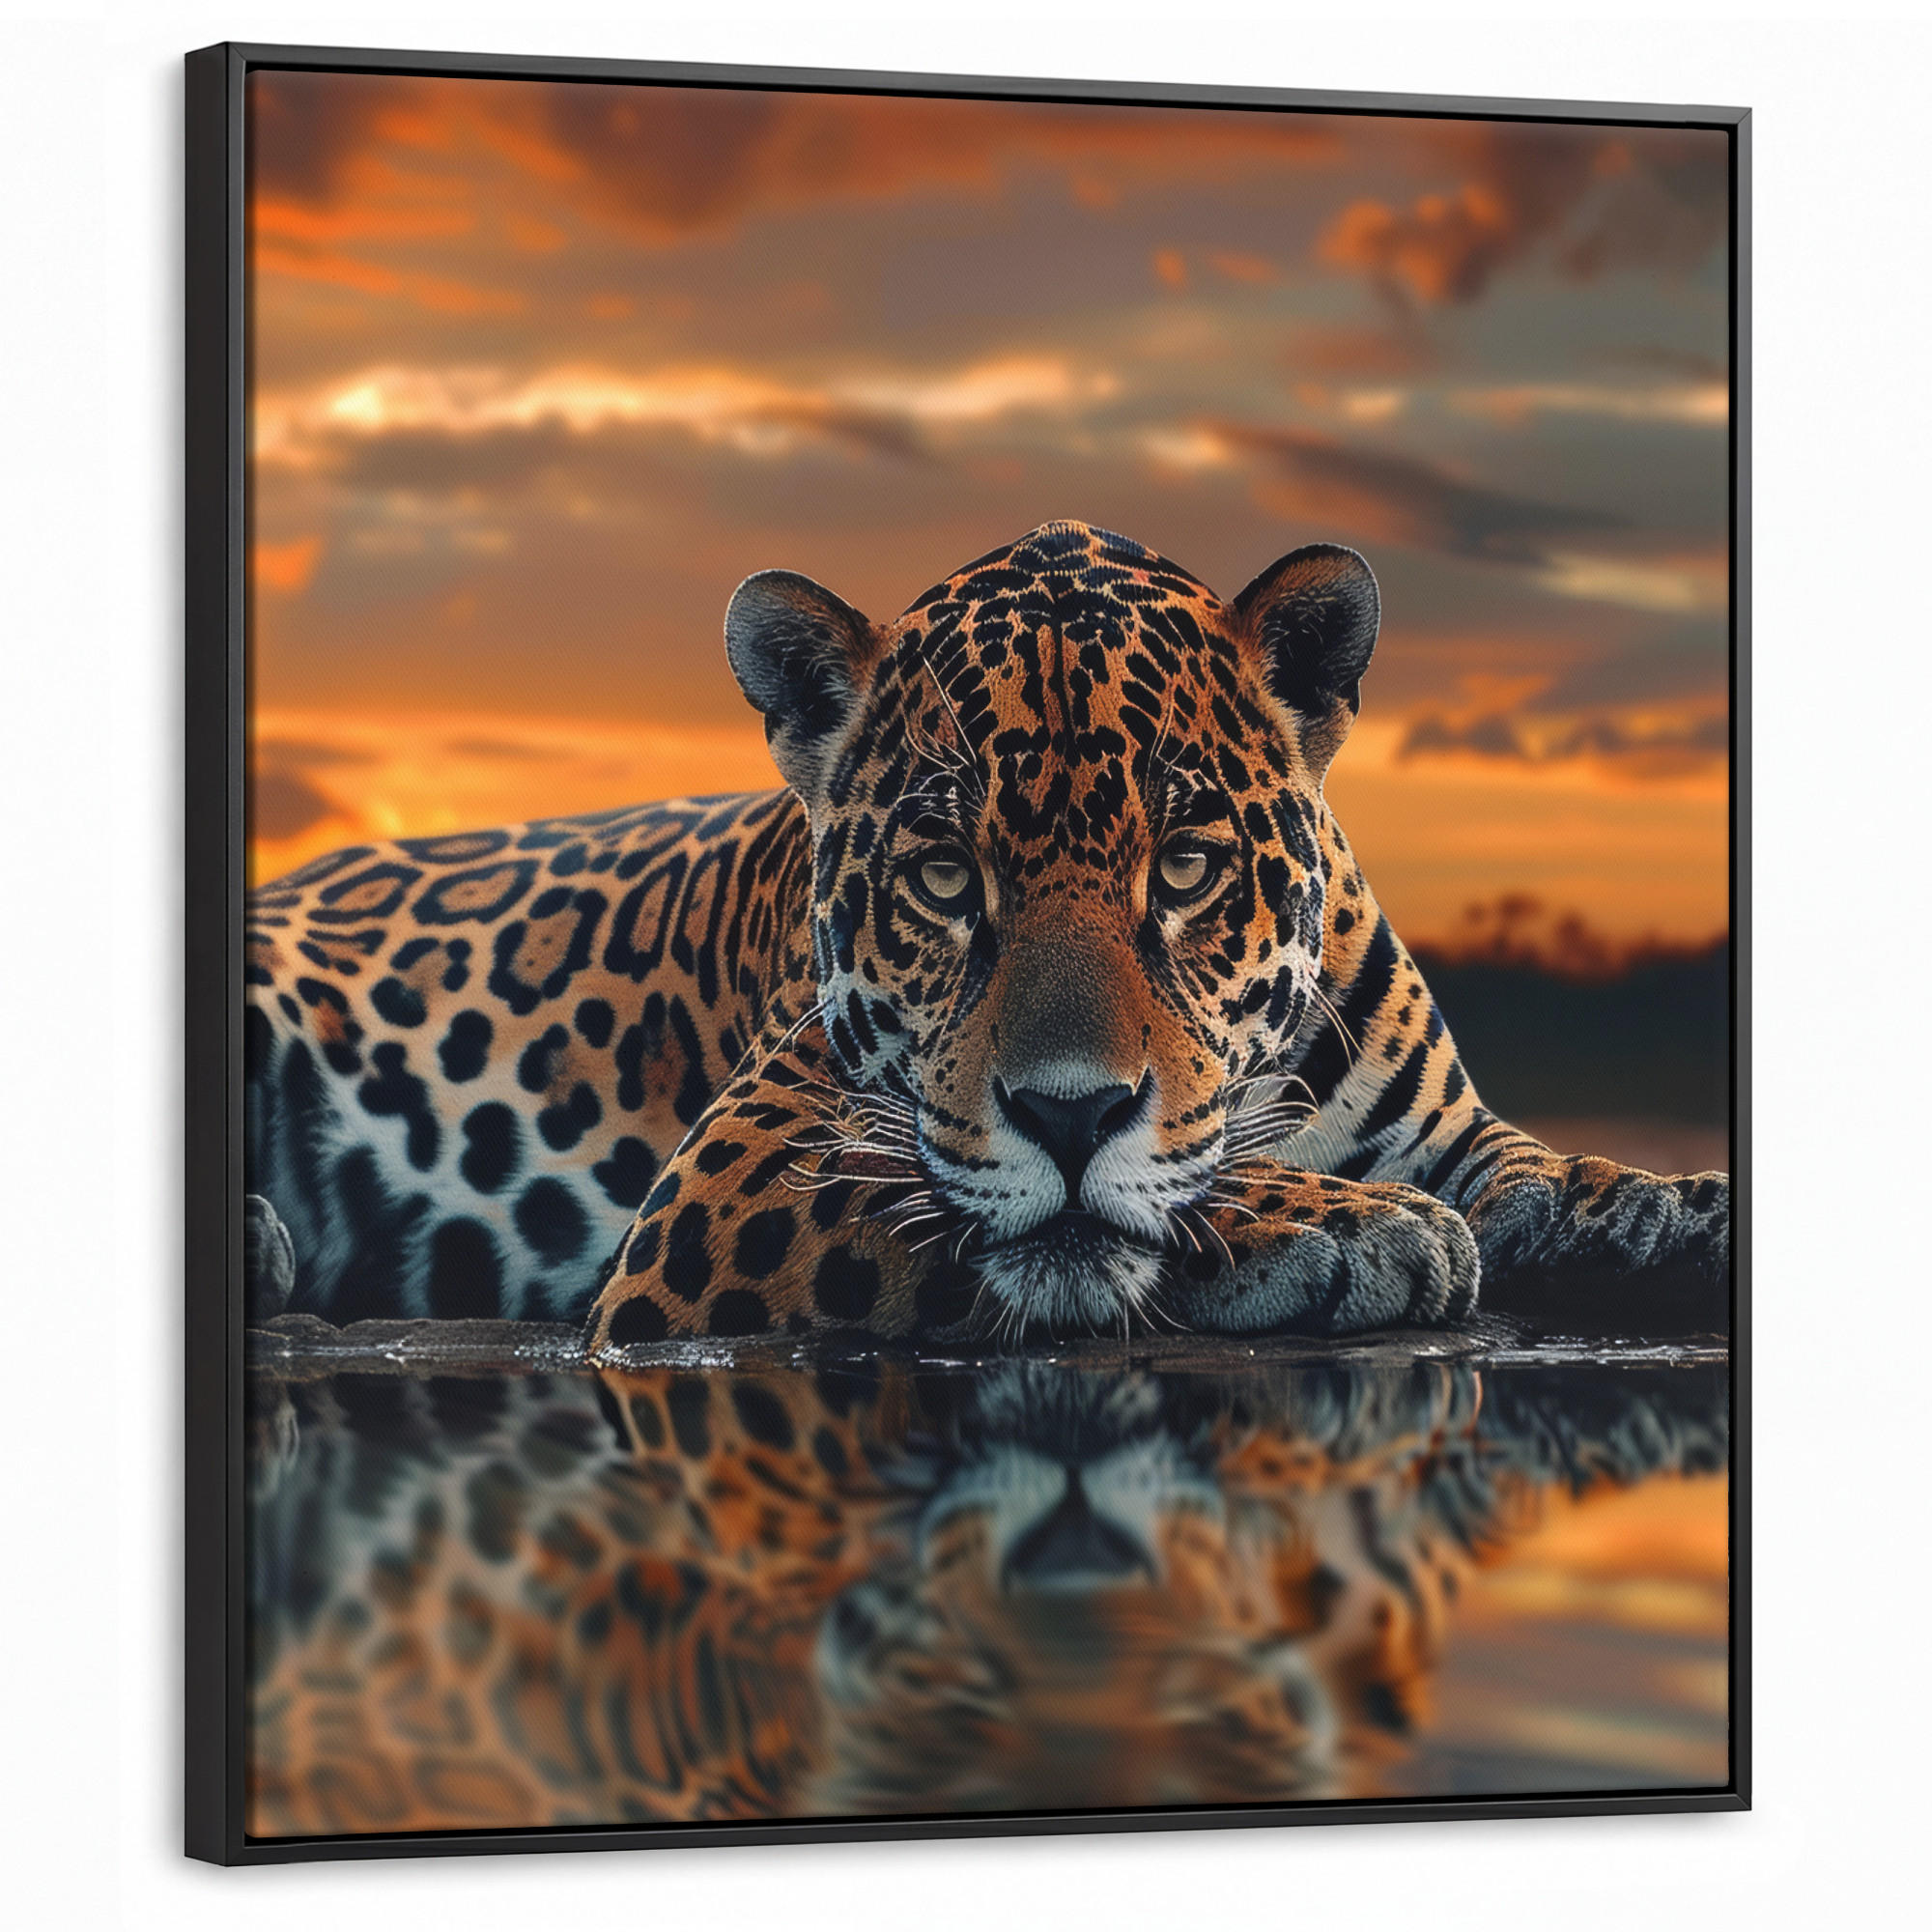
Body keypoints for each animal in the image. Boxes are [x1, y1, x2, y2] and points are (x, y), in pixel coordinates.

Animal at [243, 520, 1730, 1350]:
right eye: (947, 877)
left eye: (1183, 865)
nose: (1069, 1114)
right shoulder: (734, 1177)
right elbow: (1065, 1199)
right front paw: (1359, 1226)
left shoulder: (1451, 1127)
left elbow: (1542, 1167)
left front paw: (1669, 1209)